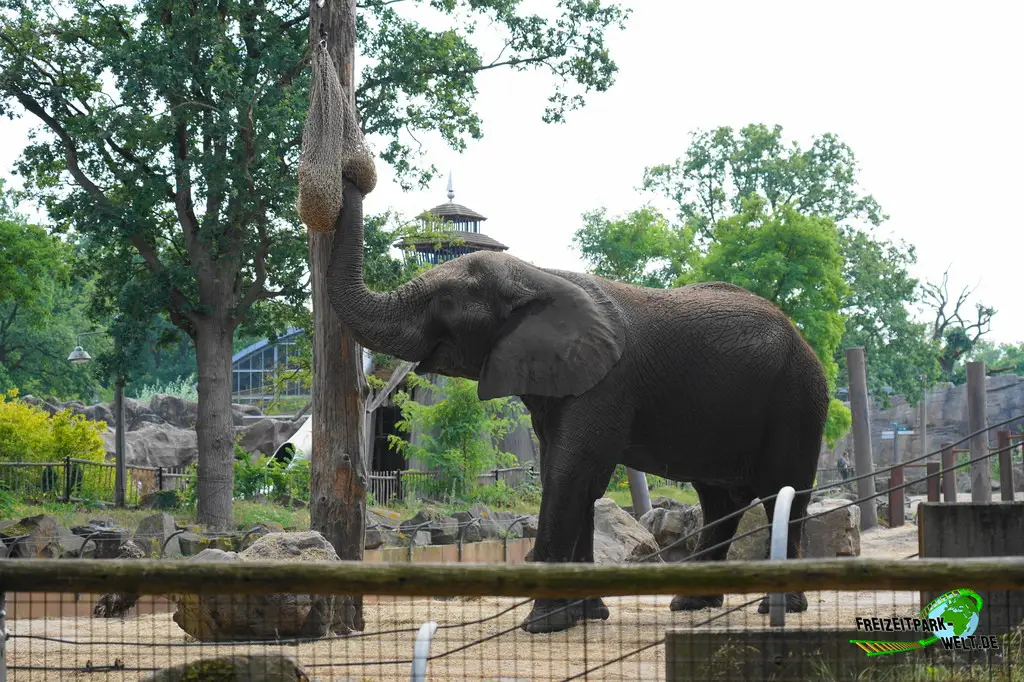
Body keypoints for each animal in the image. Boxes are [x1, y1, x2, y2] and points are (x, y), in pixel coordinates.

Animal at [326, 178, 829, 634]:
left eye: (445, 300)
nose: (355, 173)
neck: (537, 274)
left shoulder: (606, 383)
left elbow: (572, 472)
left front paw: (542, 625)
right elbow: (568, 473)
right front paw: (585, 616)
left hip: (798, 400)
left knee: (783, 492)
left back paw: (778, 607)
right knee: (719, 497)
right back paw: (692, 603)